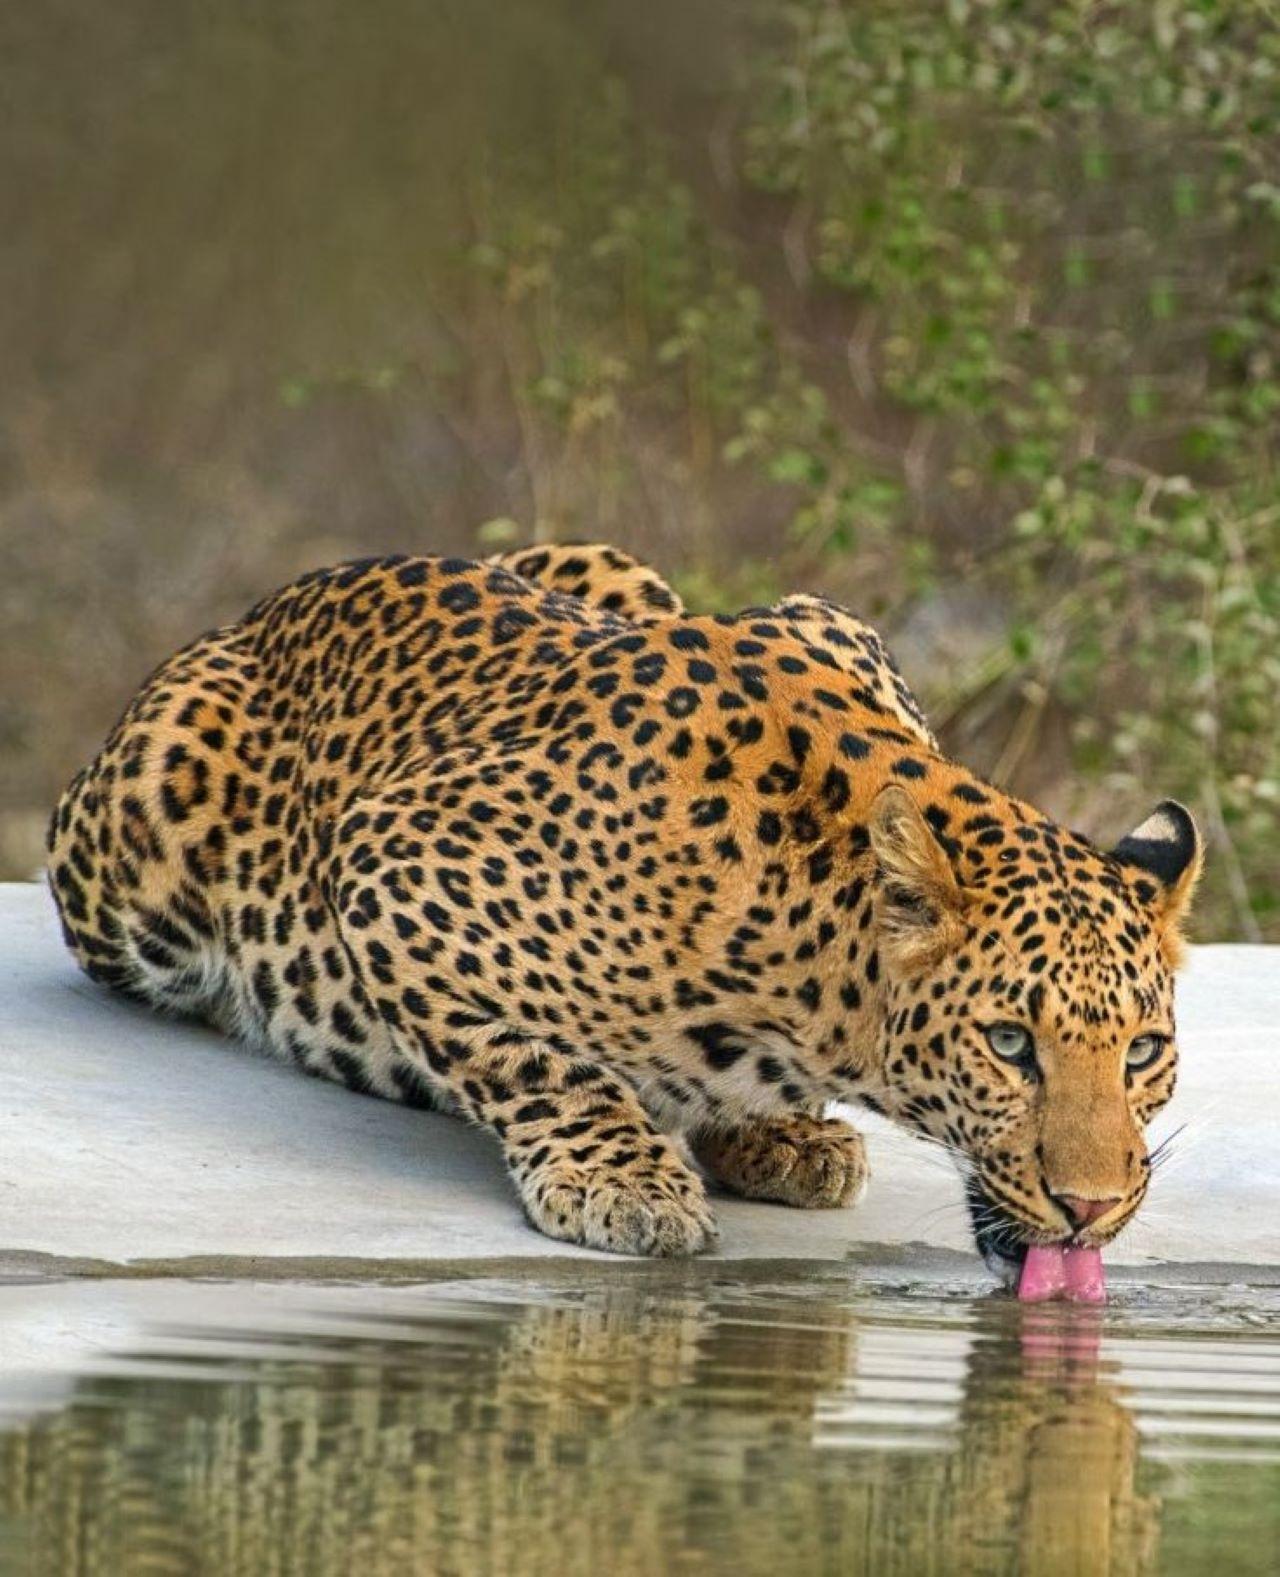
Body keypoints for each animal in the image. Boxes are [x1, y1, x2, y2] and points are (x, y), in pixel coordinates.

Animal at [47, 543, 1202, 1276]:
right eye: (1009, 1044)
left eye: (1142, 1052)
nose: (1093, 1205)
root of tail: (269, 605)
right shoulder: (393, 854)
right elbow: (538, 1059)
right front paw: (624, 1178)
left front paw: (770, 1130)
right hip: (137, 846)